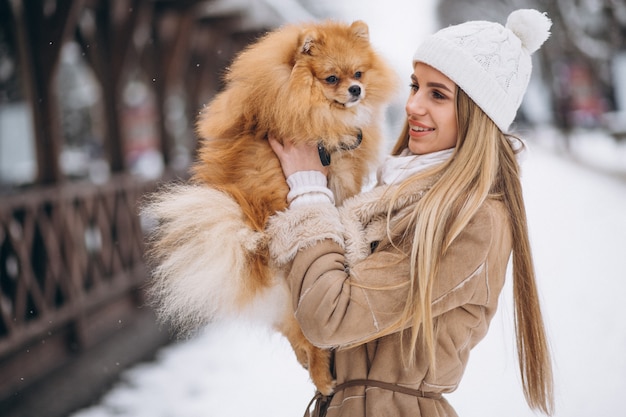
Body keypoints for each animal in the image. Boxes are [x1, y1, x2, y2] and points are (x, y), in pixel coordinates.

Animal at [144, 19, 394, 394]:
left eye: (359, 73)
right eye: (331, 78)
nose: (356, 90)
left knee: (298, 339)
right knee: (306, 338)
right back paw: (324, 378)